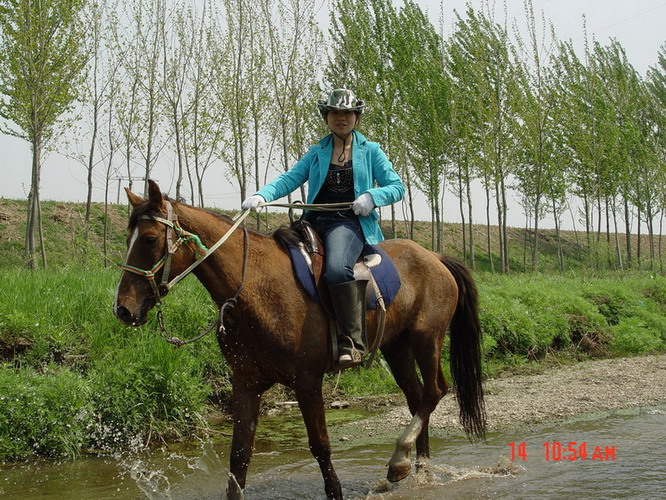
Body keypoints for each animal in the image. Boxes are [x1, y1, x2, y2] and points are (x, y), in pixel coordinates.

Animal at [114, 180, 486, 500]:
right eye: (129, 237)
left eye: (149, 239)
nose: (123, 309)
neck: (254, 288)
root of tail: (435, 257)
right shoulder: (246, 383)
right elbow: (239, 456)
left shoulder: (307, 382)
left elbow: (320, 445)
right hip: (397, 348)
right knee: (417, 398)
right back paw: (417, 469)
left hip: (427, 339)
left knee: (434, 391)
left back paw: (400, 458)